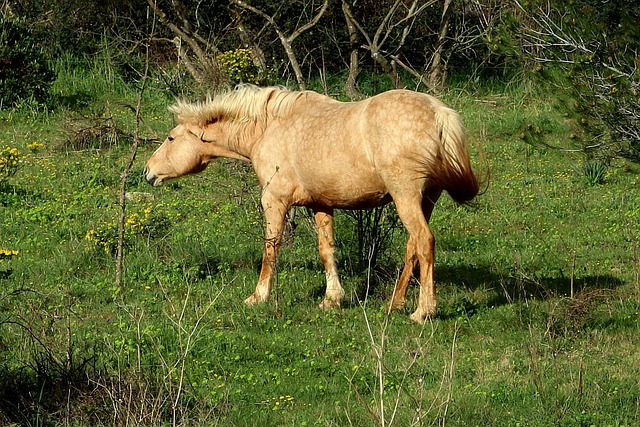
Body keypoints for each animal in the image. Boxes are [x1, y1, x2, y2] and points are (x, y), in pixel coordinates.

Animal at [142, 85, 478, 322]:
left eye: (170, 138)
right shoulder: (321, 204)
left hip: (406, 196)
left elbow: (270, 249)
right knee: (413, 247)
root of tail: (438, 112)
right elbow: (326, 250)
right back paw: (394, 304)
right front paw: (332, 299)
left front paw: (258, 297)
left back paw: (423, 311)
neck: (269, 127)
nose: (147, 171)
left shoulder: (274, 200)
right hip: (425, 199)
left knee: (424, 241)